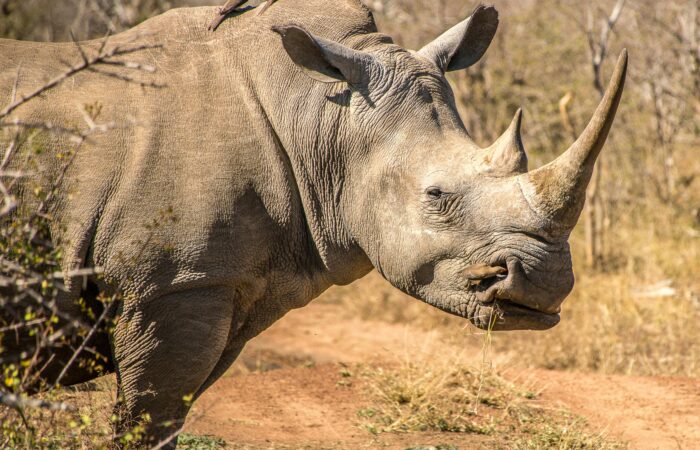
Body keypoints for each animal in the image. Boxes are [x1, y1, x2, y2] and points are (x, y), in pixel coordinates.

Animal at [0, 0, 626, 446]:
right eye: (436, 196)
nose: (545, 283)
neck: (321, 119)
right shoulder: (172, 284)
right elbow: (148, 424)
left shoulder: (217, 286)